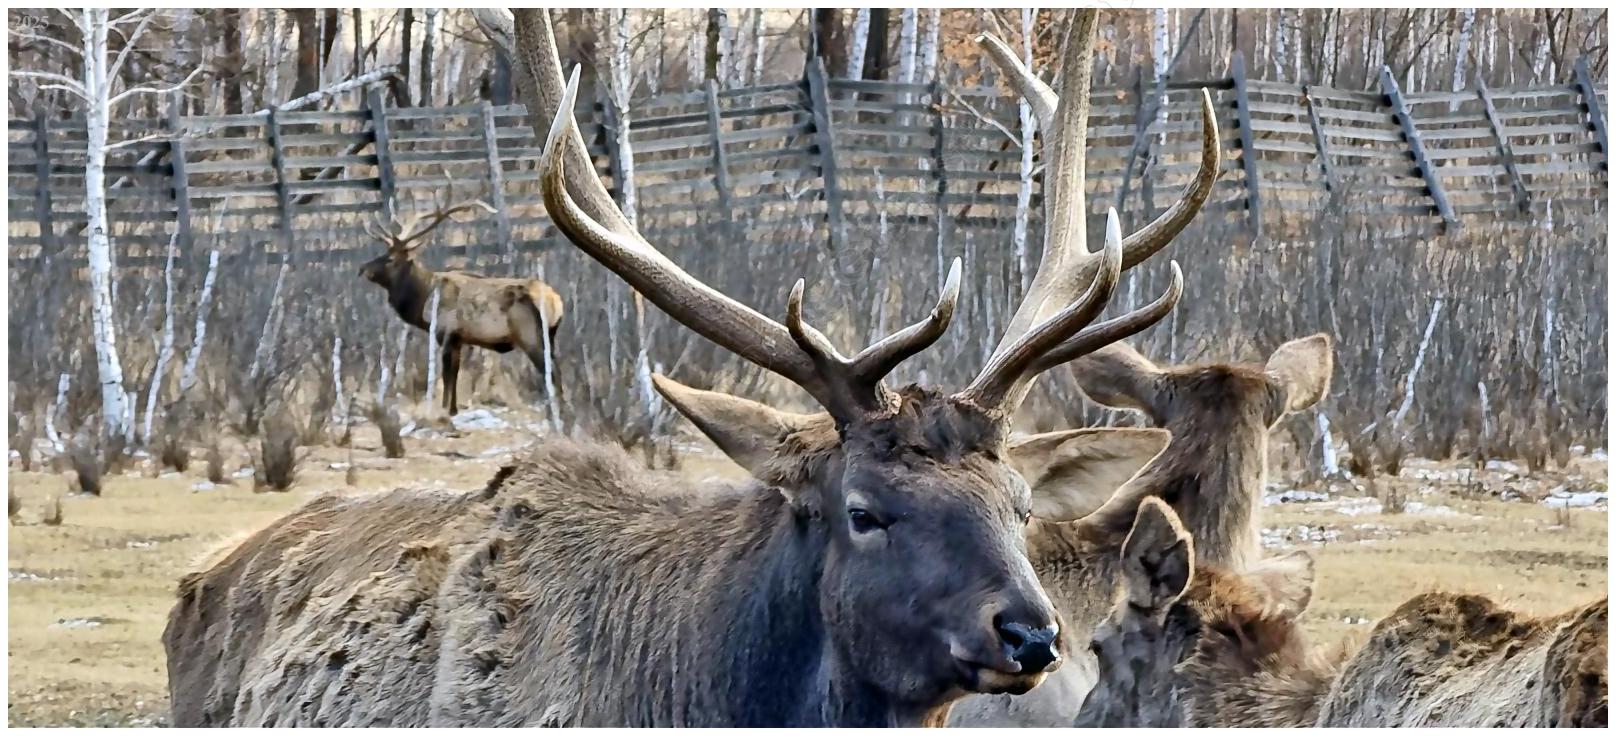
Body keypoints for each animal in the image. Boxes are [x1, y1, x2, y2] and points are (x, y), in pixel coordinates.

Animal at [358, 185, 565, 416]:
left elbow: (447, 376)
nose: (363, 268)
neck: (422, 301)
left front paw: (443, 410)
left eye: (391, 258)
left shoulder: (446, 333)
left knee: (552, 373)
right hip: (550, 335)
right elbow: (455, 374)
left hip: (530, 335)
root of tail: (556, 301)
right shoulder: (459, 339)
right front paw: (453, 410)